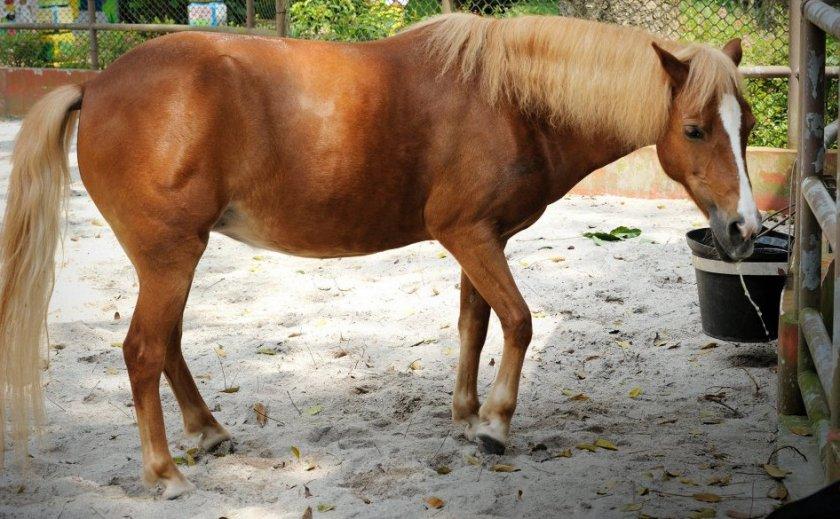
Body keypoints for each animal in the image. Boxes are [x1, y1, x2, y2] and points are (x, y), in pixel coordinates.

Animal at [0, 13, 759, 498]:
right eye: (696, 129)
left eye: (746, 125)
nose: (745, 227)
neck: (508, 99)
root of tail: (96, 84)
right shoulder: (470, 234)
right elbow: (518, 322)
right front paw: (496, 426)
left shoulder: (482, 239)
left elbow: (475, 323)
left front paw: (465, 416)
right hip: (169, 257)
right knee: (142, 351)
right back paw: (164, 473)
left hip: (172, 259)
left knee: (169, 346)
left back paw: (208, 433)